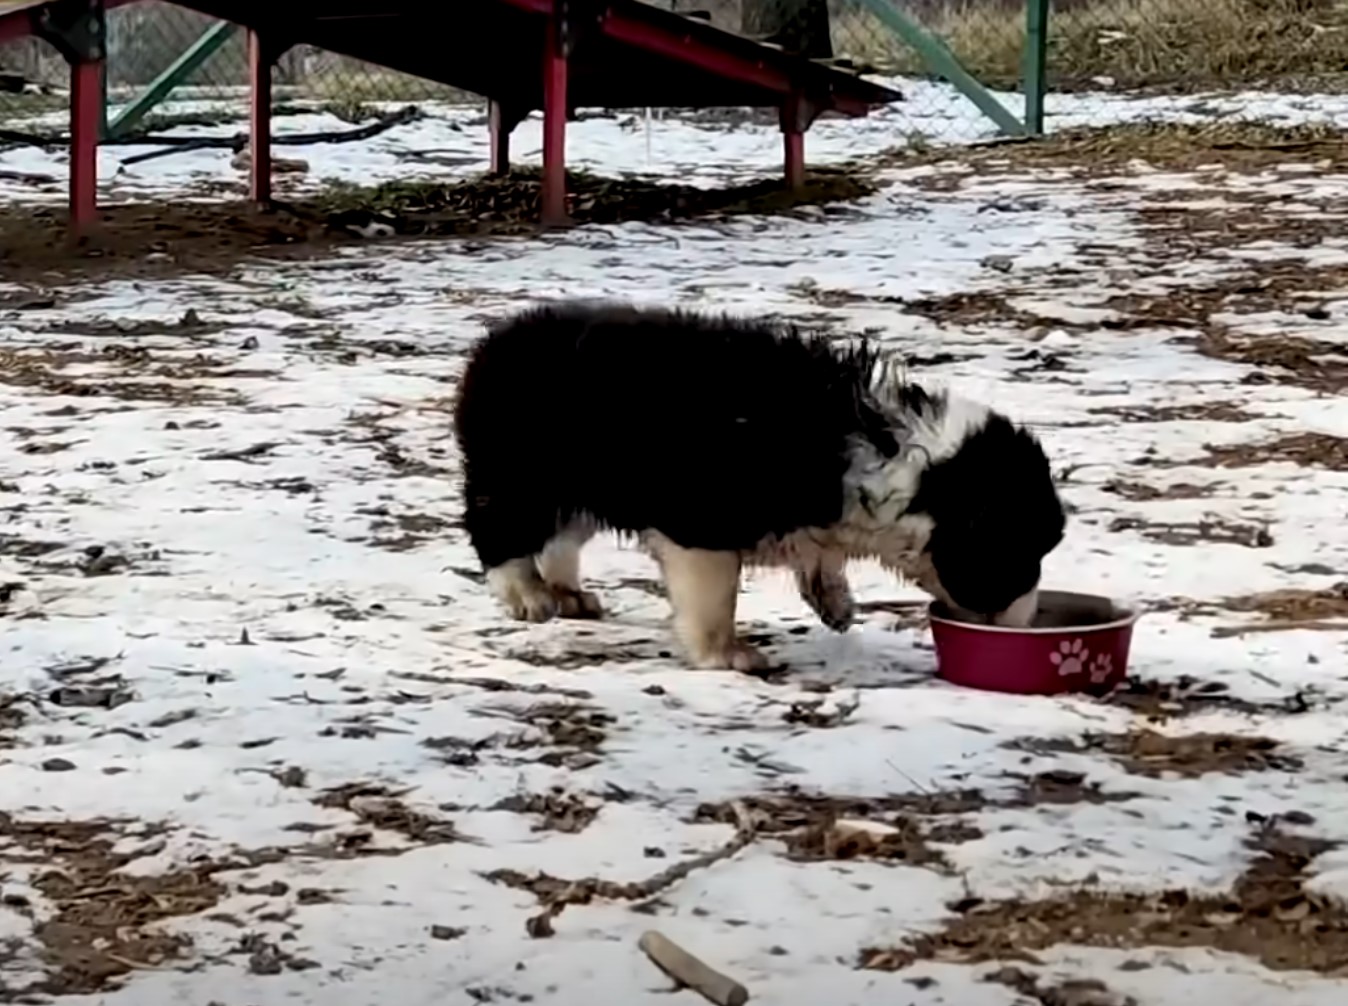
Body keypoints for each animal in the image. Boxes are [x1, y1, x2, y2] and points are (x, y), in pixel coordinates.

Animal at [452, 302, 1062, 668]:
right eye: (1017, 548)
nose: (1026, 621)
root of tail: (493, 343)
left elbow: (819, 558)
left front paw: (835, 603)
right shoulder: (703, 525)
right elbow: (714, 599)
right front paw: (726, 656)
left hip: (579, 487)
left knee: (560, 538)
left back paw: (567, 594)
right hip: (522, 476)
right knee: (499, 533)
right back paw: (529, 597)